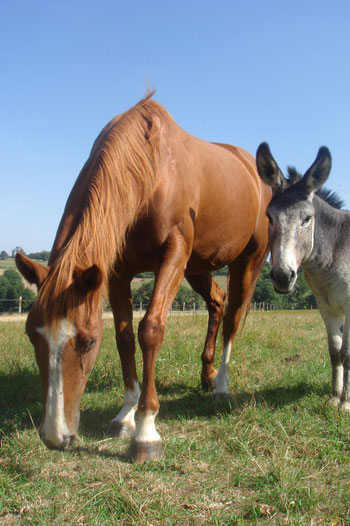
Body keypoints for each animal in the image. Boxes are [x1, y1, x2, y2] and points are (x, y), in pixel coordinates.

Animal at [15, 97, 268, 464]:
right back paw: (206, 376)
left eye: (88, 342)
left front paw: (146, 432)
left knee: (233, 318)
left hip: (244, 261)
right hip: (198, 267)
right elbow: (124, 339)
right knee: (217, 302)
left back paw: (221, 387)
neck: (151, 170)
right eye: (33, 336)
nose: (54, 435)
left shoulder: (173, 255)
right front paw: (125, 416)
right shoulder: (117, 272)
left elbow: (149, 330)